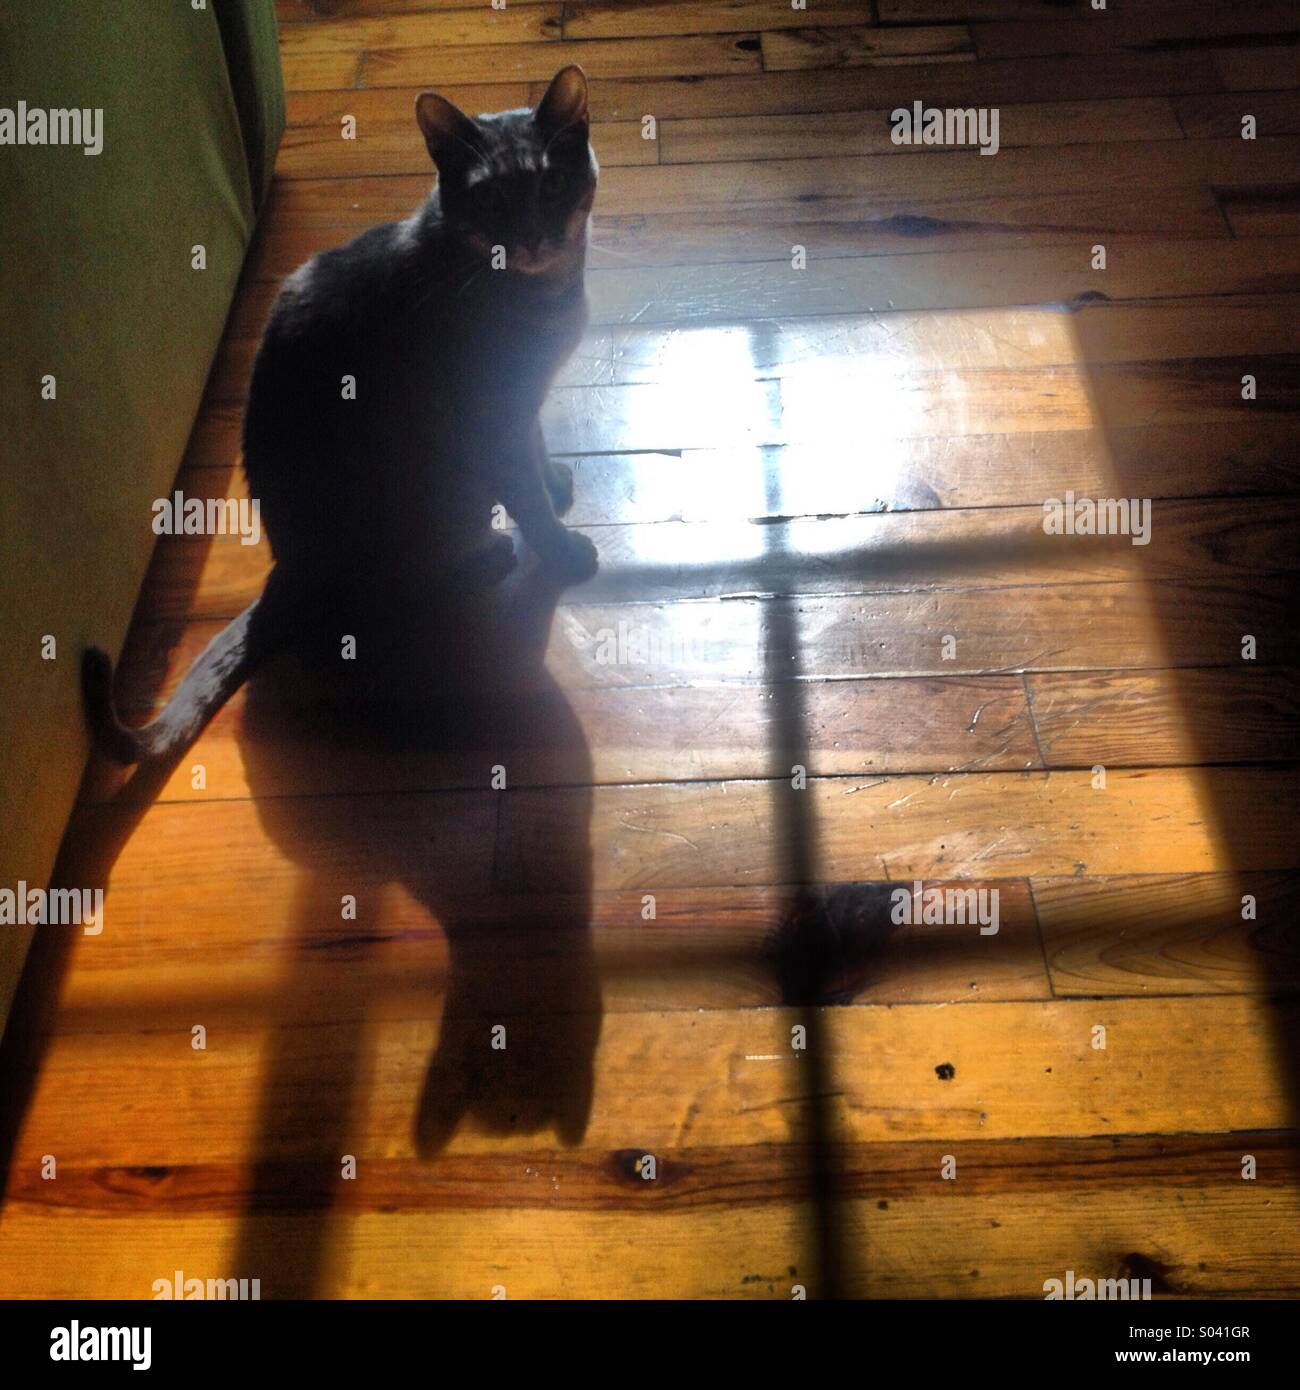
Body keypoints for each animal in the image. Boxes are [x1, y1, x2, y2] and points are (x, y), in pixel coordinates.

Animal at [83, 62, 603, 761]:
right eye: (491, 200)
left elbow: (538, 448)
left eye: (552, 182)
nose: (530, 235)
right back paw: (486, 558)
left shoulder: (526, 403)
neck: (543, 292)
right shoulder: (494, 416)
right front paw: (564, 550)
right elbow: (527, 494)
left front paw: (557, 483)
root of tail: (284, 577)